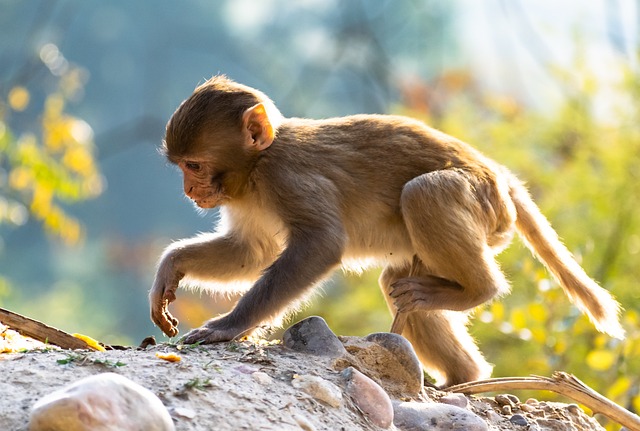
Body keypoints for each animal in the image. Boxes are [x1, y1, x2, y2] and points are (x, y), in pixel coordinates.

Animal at [148, 75, 624, 388]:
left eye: (194, 165)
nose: (189, 189)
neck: (258, 165)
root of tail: (501, 177)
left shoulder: (288, 177)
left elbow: (321, 246)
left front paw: (231, 325)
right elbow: (253, 252)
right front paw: (170, 270)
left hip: (483, 205)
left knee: (425, 193)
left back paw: (479, 290)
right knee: (400, 284)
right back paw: (462, 377)